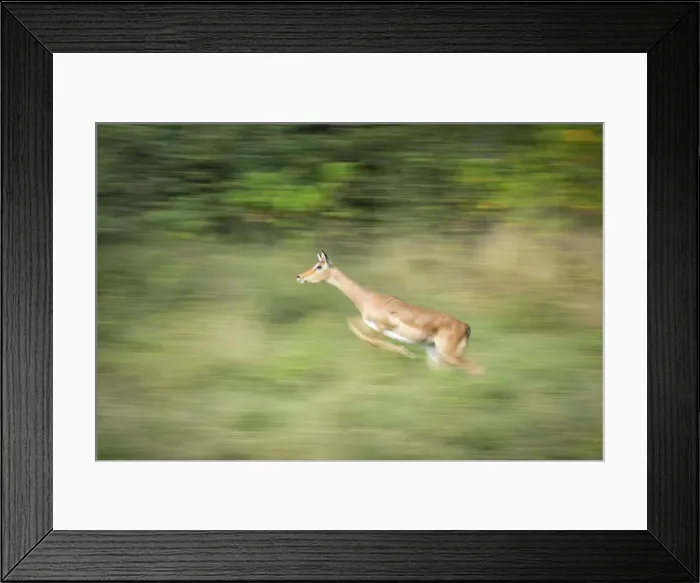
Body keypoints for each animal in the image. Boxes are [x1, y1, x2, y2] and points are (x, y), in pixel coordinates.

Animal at [296, 251, 485, 375]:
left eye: (319, 266)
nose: (300, 276)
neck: (368, 298)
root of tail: (465, 327)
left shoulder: (383, 326)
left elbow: (373, 341)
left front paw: (405, 351)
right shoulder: (369, 324)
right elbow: (353, 325)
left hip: (449, 355)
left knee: (478, 369)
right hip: (435, 353)